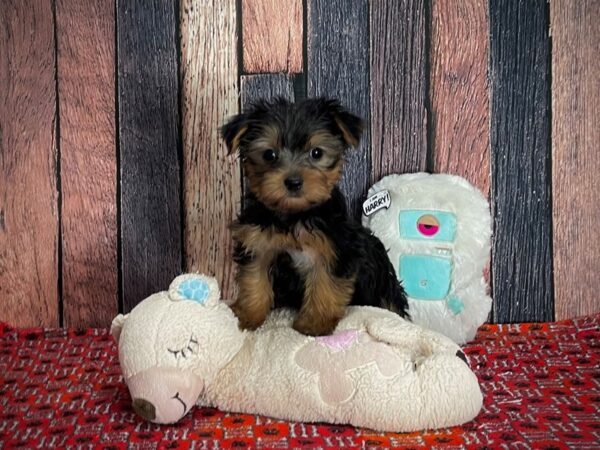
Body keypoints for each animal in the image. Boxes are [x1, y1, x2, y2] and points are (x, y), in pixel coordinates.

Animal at [220, 98, 408, 338]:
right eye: (269, 155)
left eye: (316, 153)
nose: (293, 182)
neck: (293, 216)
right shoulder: (257, 244)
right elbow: (253, 280)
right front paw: (247, 317)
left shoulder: (336, 249)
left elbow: (326, 286)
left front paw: (314, 325)